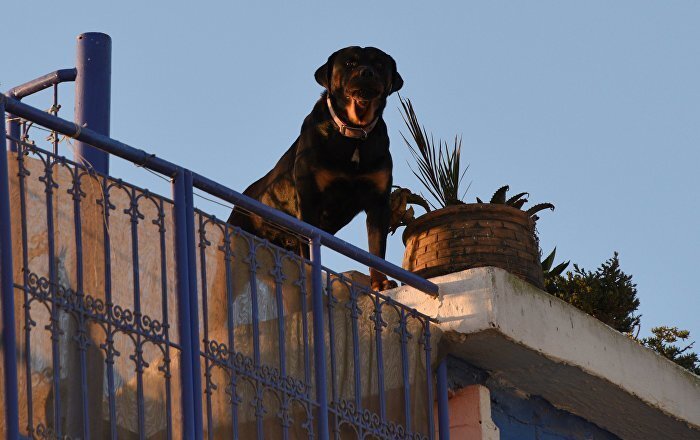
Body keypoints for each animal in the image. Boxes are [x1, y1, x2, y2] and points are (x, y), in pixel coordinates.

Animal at [228, 46, 402, 290]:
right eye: (349, 63)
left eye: (379, 64)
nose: (366, 72)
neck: (353, 135)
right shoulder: (309, 197)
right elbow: (309, 247)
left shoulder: (378, 202)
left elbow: (376, 250)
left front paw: (381, 282)